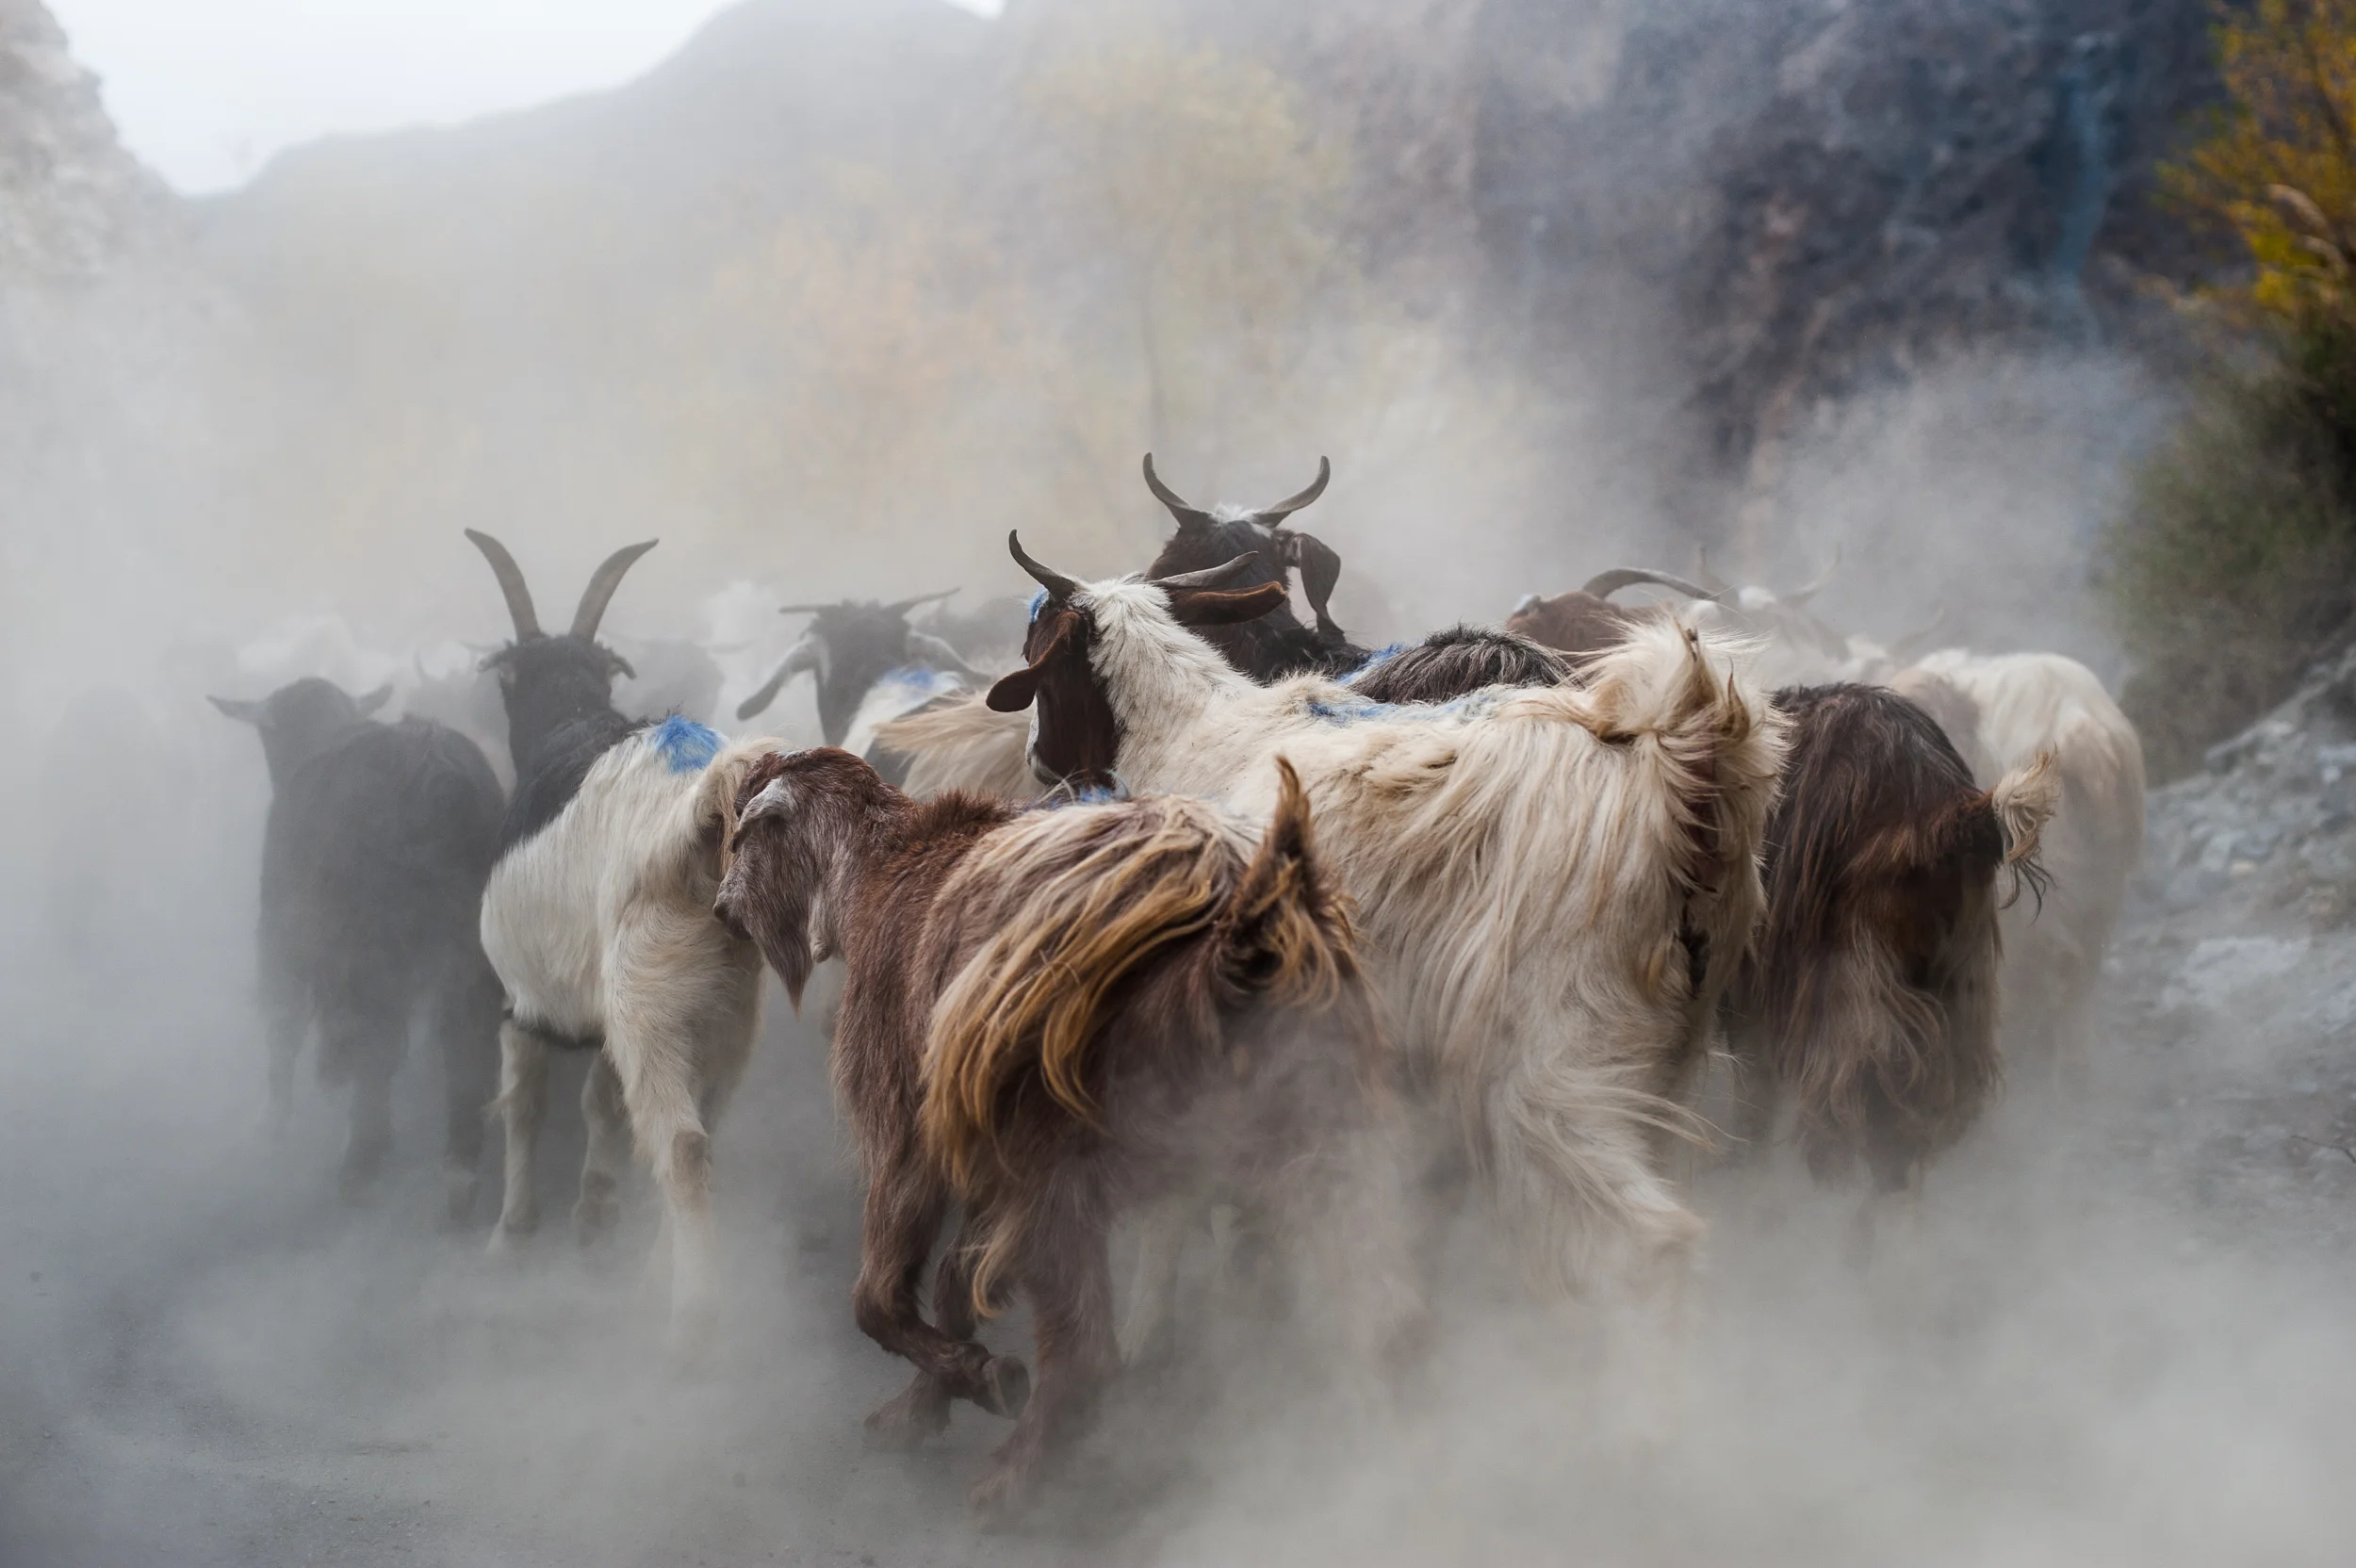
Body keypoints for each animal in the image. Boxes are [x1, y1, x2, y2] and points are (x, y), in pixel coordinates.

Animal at [211, 677, 506, 1214]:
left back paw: (360, 1162)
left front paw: (271, 1118)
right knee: (465, 1043)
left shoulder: (285, 934)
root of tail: (435, 772)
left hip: (370, 948)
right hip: (466, 947)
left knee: (374, 1042)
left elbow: (284, 1023)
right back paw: (459, 1167)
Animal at [464, 531, 774, 1350]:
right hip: (725, 1003)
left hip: (652, 991)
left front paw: (513, 1234)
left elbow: (528, 1100)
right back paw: (648, 1286)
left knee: (683, 1145)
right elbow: (602, 1104)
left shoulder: (522, 995)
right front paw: (596, 1213)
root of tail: (702, 807)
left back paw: (690, 1326)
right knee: (705, 1130)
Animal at [713, 749, 1419, 1519]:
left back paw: (1018, 1475)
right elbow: (957, 1282)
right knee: (1377, 1312)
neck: (881, 865)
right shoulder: (978, 1137)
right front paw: (929, 1400)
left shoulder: (910, 1117)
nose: (720, 908)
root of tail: (1233, 944)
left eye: (740, 838)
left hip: (1059, 1159)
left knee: (1085, 1349)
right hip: (1324, 1130)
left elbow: (878, 1296)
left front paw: (975, 1378)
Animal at [982, 536, 1786, 1332]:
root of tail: (1680, 771)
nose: (1034, 760)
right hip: (1661, 1065)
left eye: (1035, 653)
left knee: (1647, 1249)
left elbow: (1174, 1218)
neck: (1187, 733)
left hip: (1557, 1067)